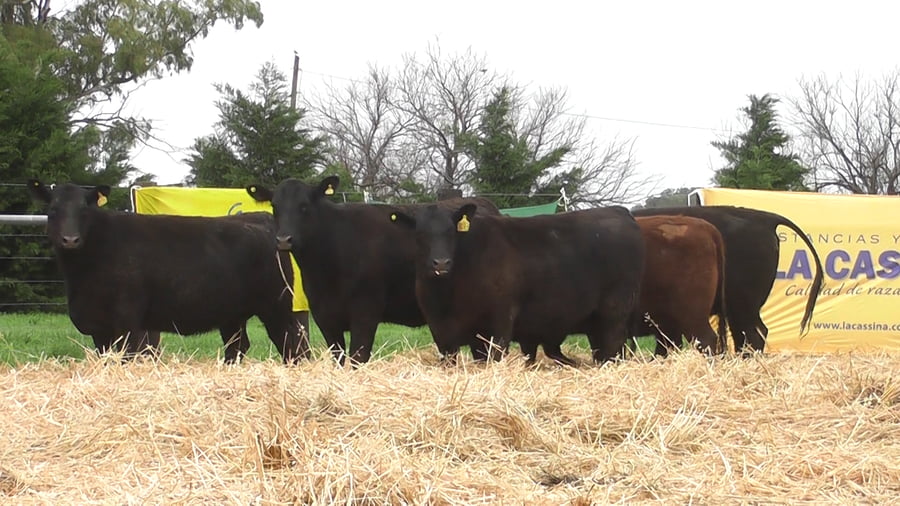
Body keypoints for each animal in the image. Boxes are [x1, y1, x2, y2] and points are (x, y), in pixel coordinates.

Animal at [28, 180, 307, 364]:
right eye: (52, 210)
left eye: (84, 210)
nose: (70, 239)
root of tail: (263, 218)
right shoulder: (99, 328)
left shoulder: (128, 320)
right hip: (233, 314)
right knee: (237, 346)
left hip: (277, 306)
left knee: (291, 343)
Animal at [246, 176, 501, 365]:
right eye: (275, 207)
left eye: (304, 207)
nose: (284, 240)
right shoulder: (324, 316)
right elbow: (339, 359)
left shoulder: (365, 312)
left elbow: (358, 358)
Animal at [389, 203, 646, 365]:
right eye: (419, 234)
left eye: (452, 232)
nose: (441, 263)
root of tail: (620, 211)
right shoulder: (442, 333)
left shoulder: (500, 322)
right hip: (596, 321)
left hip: (614, 313)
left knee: (612, 347)